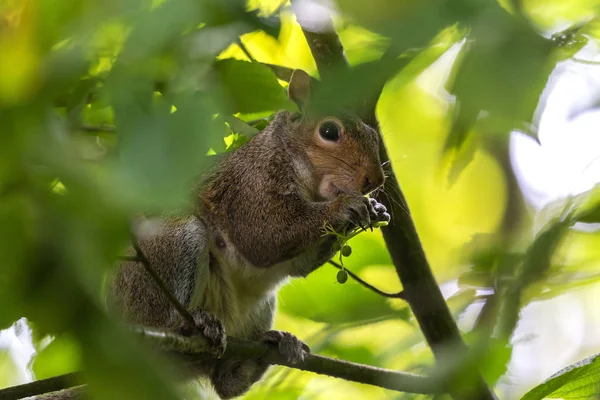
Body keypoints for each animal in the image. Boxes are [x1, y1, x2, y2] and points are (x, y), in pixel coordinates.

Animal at [41, 69, 390, 400]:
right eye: (329, 131)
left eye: (374, 134)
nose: (374, 180)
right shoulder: (250, 187)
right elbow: (265, 238)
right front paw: (347, 205)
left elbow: (296, 265)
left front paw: (373, 210)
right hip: (170, 254)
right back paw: (194, 325)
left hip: (260, 307)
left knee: (225, 386)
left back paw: (269, 349)